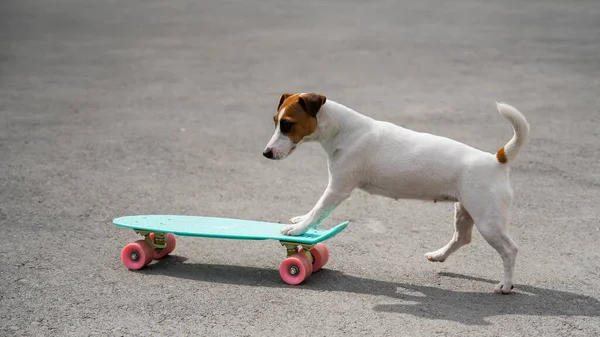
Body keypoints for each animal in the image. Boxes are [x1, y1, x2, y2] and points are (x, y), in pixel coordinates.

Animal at [262, 91, 528, 292]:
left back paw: (505, 285)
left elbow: (318, 209)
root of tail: (496, 160)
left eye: (287, 124)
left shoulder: (337, 189)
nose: (266, 153)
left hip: (488, 220)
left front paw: (298, 229)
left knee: (510, 250)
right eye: (275, 121)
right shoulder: (335, 188)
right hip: (464, 211)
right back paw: (438, 255)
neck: (343, 129)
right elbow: (316, 212)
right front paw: (300, 221)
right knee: (461, 238)